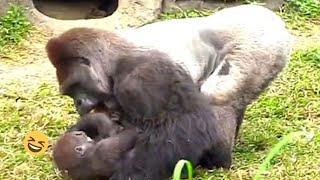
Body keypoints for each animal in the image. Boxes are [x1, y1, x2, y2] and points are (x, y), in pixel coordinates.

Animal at [46, 4, 294, 180]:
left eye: (75, 88)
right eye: (70, 93)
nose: (78, 104)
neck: (113, 59)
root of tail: (273, 19)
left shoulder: (143, 77)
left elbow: (185, 128)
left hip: (263, 45)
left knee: (216, 97)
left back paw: (218, 158)